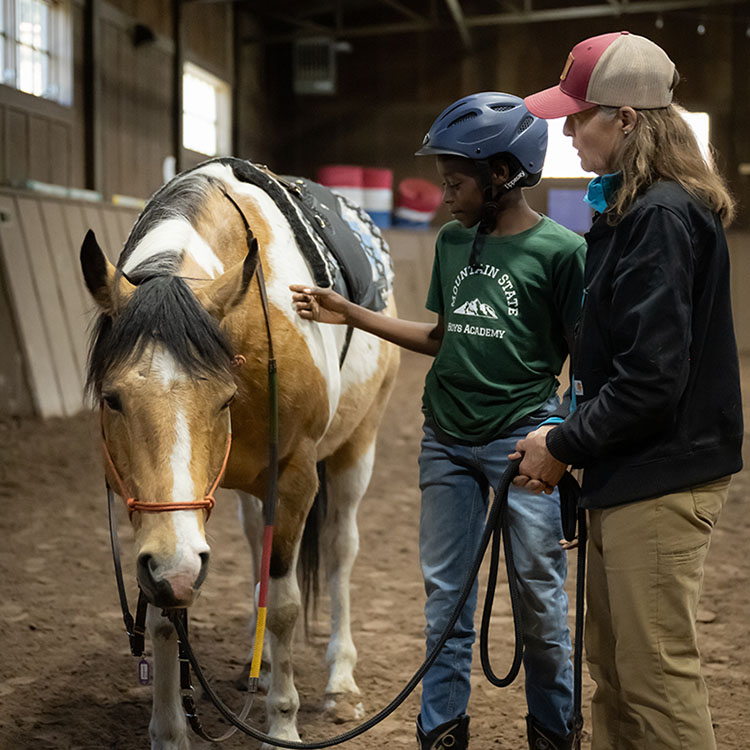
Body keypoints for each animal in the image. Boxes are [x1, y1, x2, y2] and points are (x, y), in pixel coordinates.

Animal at [79, 156, 402, 748]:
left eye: (224, 397)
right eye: (112, 399)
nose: (179, 564)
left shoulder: (295, 477)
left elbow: (285, 604)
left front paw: (285, 722)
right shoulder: (157, 523)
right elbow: (165, 613)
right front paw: (170, 732)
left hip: (357, 446)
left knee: (340, 550)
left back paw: (339, 682)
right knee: (257, 549)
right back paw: (265, 668)